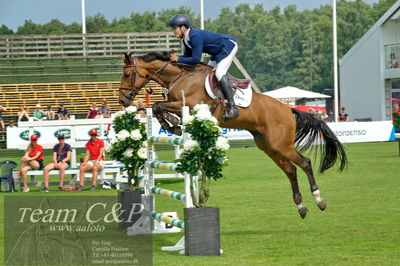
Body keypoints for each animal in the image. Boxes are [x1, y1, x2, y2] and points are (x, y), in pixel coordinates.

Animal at [119, 50, 346, 218]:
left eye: (127, 74)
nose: (122, 101)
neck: (180, 77)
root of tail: (288, 109)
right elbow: (158, 107)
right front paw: (173, 124)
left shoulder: (189, 104)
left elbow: (158, 105)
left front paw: (174, 124)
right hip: (269, 147)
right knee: (290, 170)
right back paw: (301, 207)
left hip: (282, 145)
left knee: (305, 163)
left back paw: (319, 200)